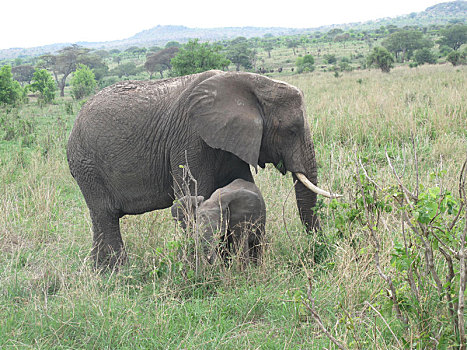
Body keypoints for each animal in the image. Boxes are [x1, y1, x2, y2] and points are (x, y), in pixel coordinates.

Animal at [66, 70, 336, 268]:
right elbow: (193, 192)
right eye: (291, 130)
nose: (318, 251)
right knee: (105, 214)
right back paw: (116, 273)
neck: (251, 83)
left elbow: (240, 185)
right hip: (87, 165)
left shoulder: (230, 138)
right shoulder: (190, 138)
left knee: (102, 217)